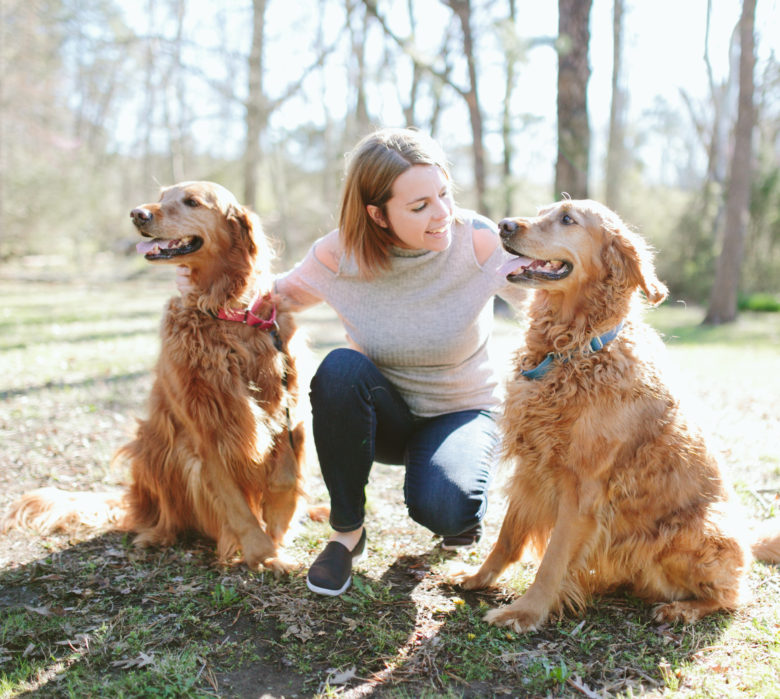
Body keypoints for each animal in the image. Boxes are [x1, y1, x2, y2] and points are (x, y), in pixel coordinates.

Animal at [460, 200, 776, 632]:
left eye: (567, 219)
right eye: (541, 211)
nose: (503, 225)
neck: (575, 350)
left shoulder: (582, 489)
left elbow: (552, 562)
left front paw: (525, 612)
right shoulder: (532, 466)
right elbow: (507, 536)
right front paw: (479, 578)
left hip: (696, 529)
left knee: (732, 598)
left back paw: (682, 609)